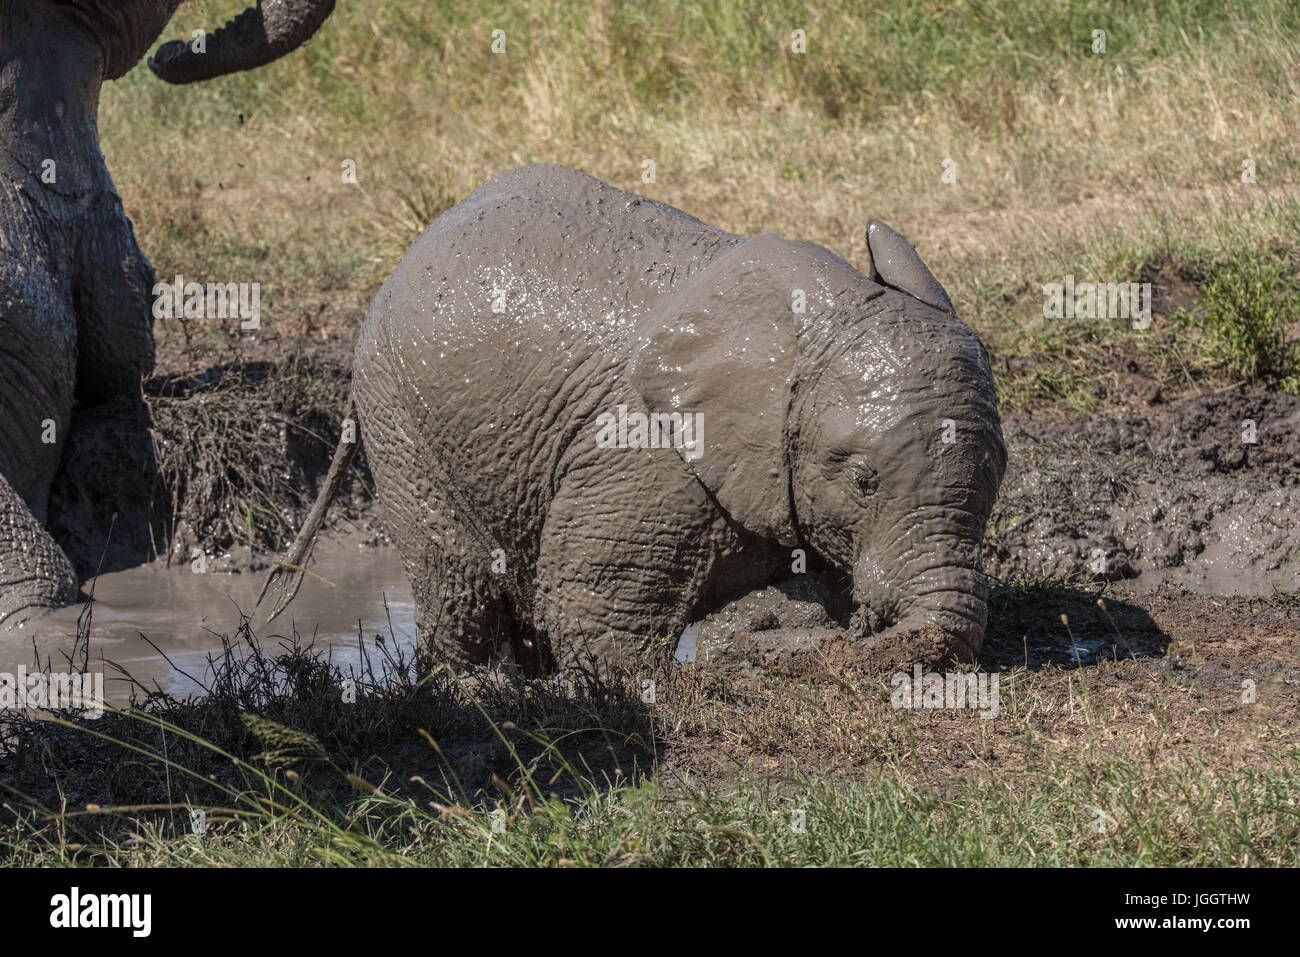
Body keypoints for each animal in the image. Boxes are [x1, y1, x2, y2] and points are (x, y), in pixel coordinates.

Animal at [263, 164, 1008, 670]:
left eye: (996, 483)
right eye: (862, 481)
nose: (861, 630)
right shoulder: (643, 455)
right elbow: (592, 609)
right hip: (400, 417)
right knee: (459, 583)